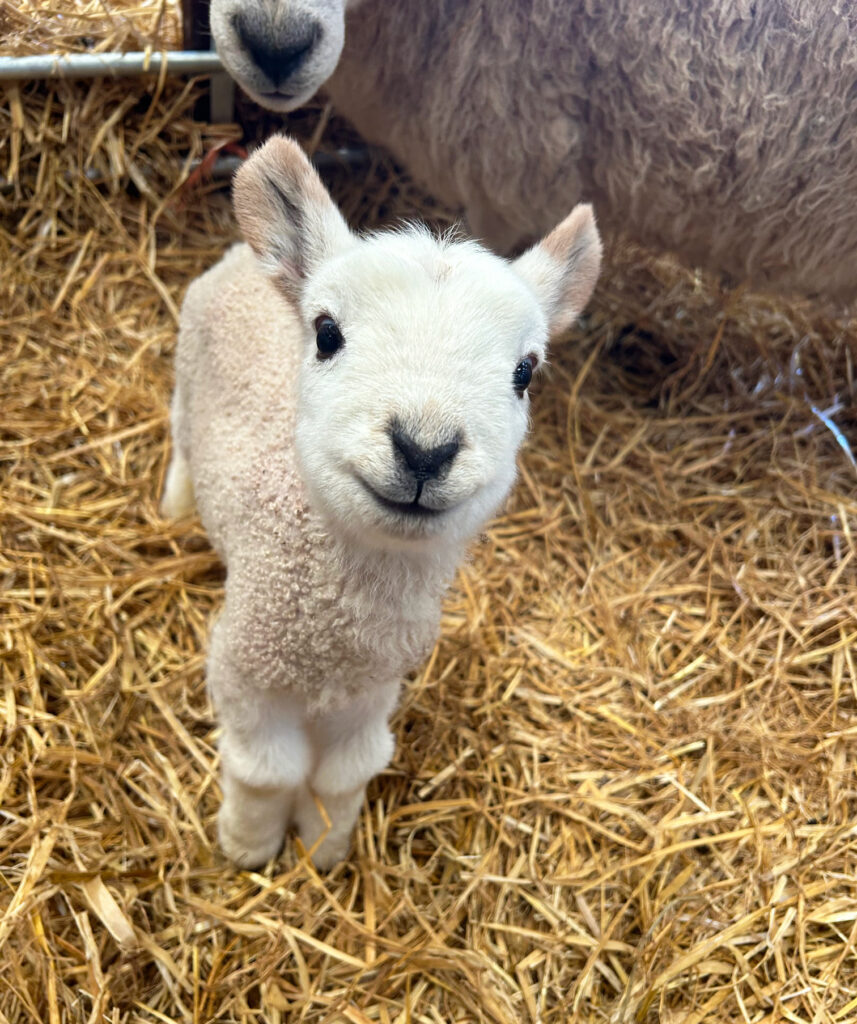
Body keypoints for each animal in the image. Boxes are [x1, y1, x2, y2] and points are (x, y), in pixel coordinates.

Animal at [162, 135, 602, 869]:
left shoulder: (370, 691)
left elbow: (345, 775)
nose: (424, 450)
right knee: (179, 439)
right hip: (186, 371)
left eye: (525, 371)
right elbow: (265, 772)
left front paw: (324, 851)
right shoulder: (246, 669)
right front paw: (248, 847)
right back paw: (172, 506)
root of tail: (243, 258)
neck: (334, 628)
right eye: (326, 333)